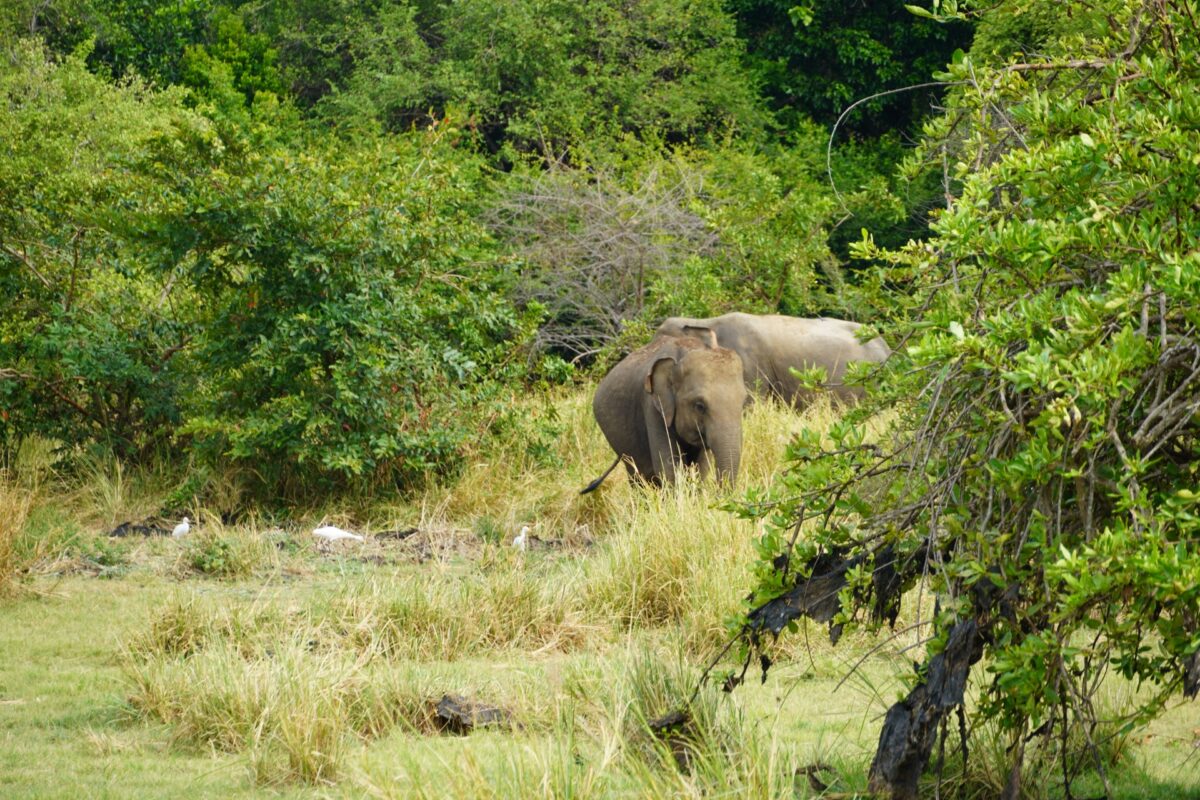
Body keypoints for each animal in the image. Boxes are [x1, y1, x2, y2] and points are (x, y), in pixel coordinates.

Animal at [581, 331, 748, 494]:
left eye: (743, 402)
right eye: (699, 406)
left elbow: (700, 468)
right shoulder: (652, 407)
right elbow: (668, 468)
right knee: (636, 475)